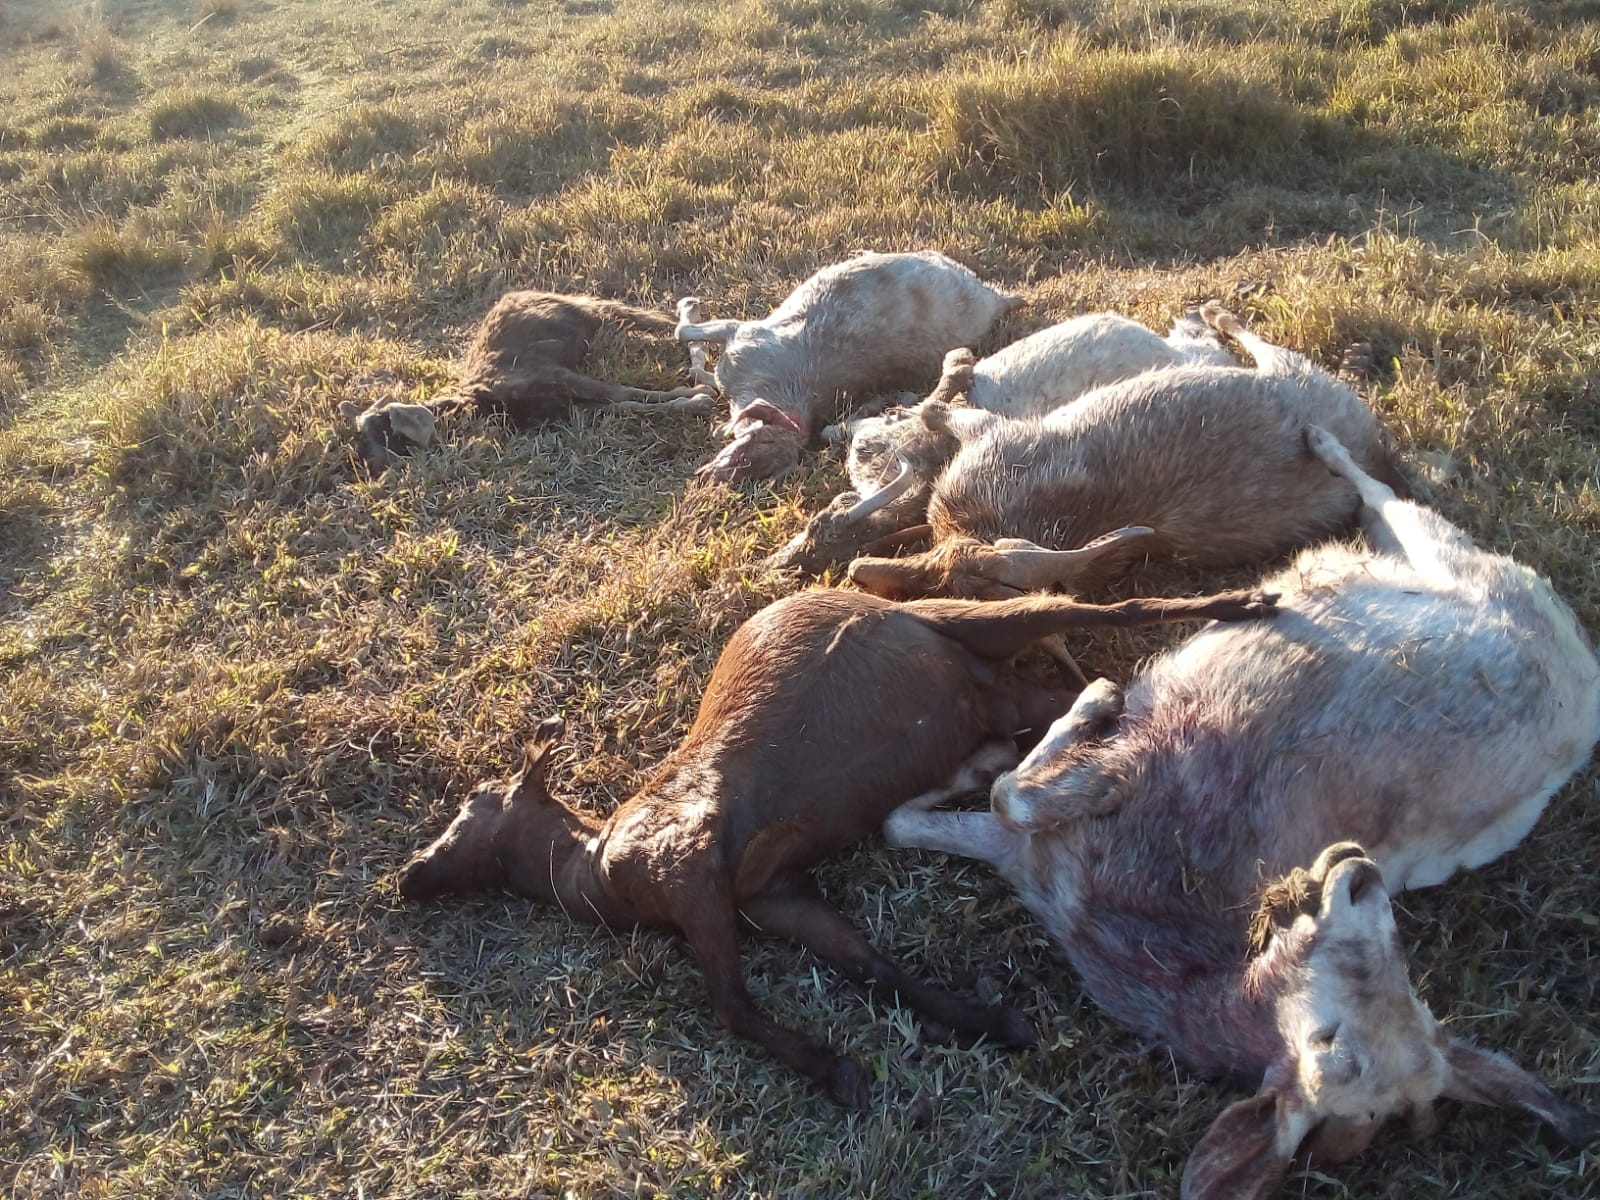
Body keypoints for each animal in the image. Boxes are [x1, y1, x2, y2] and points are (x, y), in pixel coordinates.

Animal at [340, 291, 710, 473]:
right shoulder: (571, 408)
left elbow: (626, 391)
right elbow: (627, 405)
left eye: (384, 431)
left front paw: (698, 395)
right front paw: (690, 400)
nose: (372, 471)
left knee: (648, 318)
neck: (484, 400)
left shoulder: (560, 377)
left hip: (590, 308)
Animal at [400, 585, 1273, 1107]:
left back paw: (1245, 602)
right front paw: (991, 1022)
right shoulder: (776, 899)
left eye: (476, 801)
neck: (602, 869)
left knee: (1106, 605)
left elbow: (732, 1005)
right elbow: (873, 966)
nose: (410, 874)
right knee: (1084, 696)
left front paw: (835, 1069)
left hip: (974, 618)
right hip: (1000, 689)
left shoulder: (695, 868)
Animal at [883, 428, 1600, 1200]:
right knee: (1376, 497)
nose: (1358, 872)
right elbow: (913, 820)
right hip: (1430, 556)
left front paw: (1090, 704)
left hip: (1463, 563)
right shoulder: (1026, 856)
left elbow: (1016, 794)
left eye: (1329, 1041)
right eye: (1405, 969)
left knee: (1393, 503)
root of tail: (1583, 681)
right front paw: (972, 765)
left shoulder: (1133, 774)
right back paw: (1320, 450)